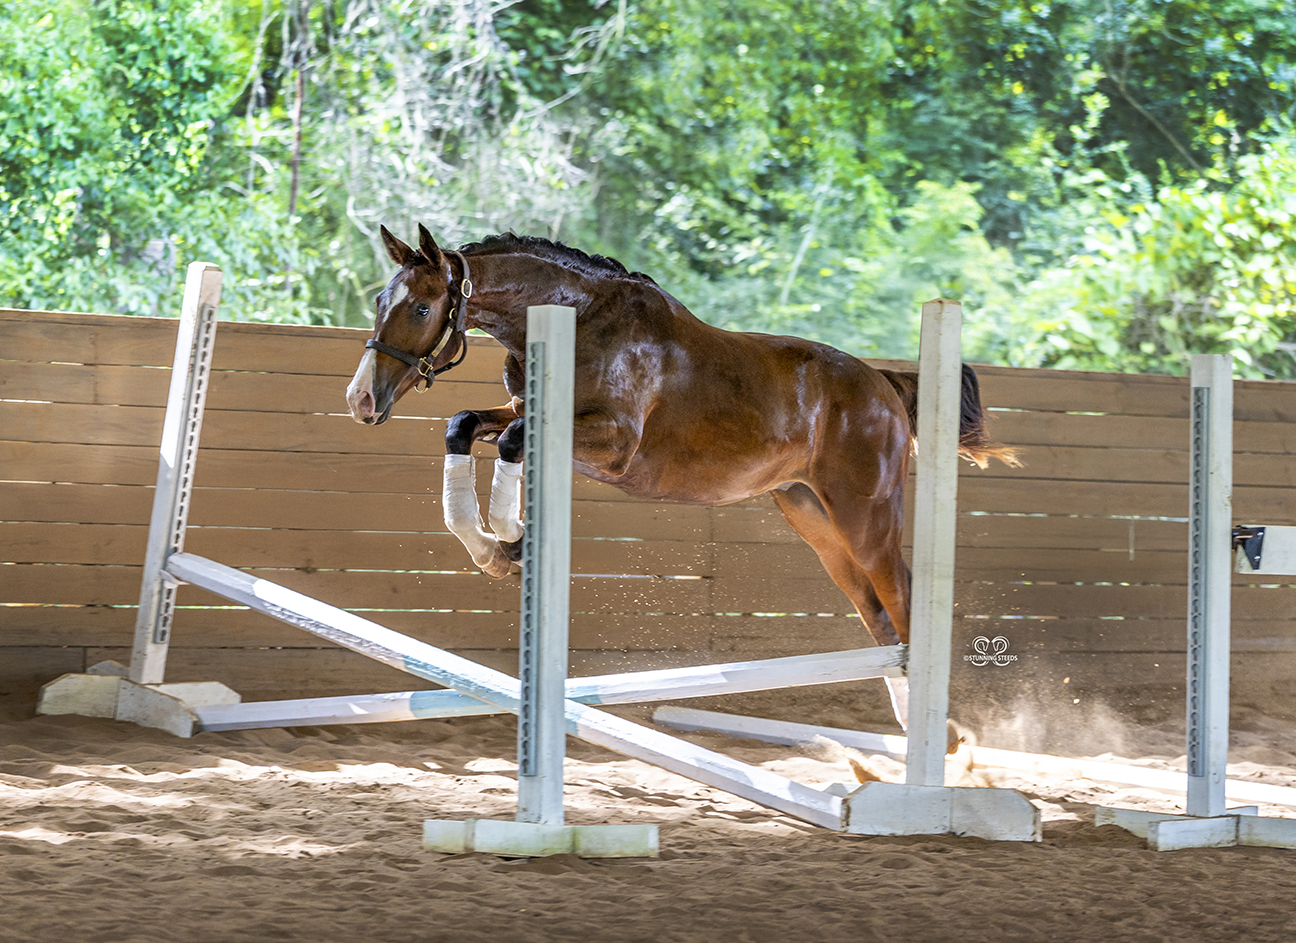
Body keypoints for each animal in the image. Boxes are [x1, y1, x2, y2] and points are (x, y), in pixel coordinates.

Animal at [345, 224, 1018, 728]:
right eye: (379, 303)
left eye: (423, 307)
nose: (360, 401)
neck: (577, 316)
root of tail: (885, 384)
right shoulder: (526, 411)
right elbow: (463, 424)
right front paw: (491, 547)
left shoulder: (612, 443)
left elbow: (509, 442)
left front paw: (509, 539)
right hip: (812, 517)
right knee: (875, 613)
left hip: (865, 515)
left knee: (901, 597)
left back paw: (943, 739)